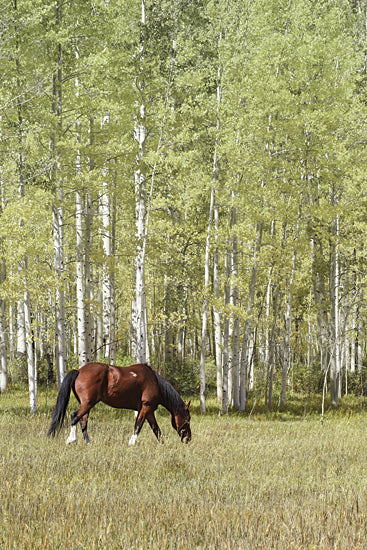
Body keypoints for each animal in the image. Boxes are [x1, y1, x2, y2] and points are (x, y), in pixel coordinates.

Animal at [46, 362, 193, 448]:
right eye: (187, 419)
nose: (188, 438)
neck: (154, 381)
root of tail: (79, 371)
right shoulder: (146, 407)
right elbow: (138, 425)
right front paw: (132, 442)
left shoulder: (149, 411)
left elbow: (156, 429)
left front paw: (163, 444)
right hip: (87, 404)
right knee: (74, 416)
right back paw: (72, 439)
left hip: (86, 405)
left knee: (83, 422)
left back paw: (88, 442)